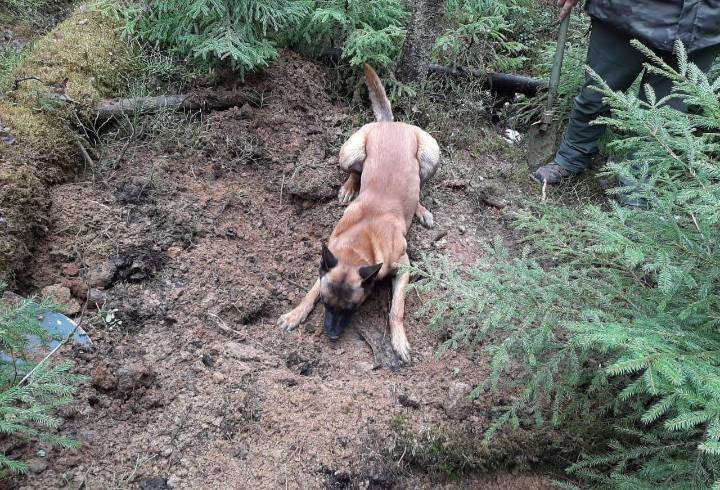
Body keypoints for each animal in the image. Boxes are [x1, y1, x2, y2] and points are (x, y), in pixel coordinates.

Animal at [278, 63, 438, 362]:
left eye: (352, 308)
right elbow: (310, 291)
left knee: (420, 186)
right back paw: (349, 188)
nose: (330, 335)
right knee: (355, 170)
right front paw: (296, 314)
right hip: (349, 153)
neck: (361, 243)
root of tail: (389, 124)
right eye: (326, 304)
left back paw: (421, 210)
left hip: (431, 155)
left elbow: (396, 310)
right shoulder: (327, 264)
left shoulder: (404, 266)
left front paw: (399, 340)